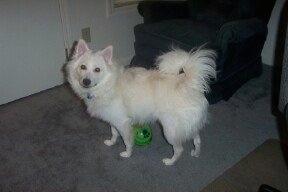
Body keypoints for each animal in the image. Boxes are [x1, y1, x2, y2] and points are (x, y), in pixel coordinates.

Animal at [66, 39, 216, 165]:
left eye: (97, 70)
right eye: (83, 67)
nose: (86, 81)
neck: (107, 85)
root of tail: (188, 84)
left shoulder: (123, 123)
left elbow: (127, 141)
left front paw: (127, 154)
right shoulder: (113, 119)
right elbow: (114, 133)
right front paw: (111, 142)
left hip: (170, 130)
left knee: (179, 149)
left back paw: (169, 162)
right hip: (187, 126)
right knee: (197, 139)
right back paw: (195, 153)